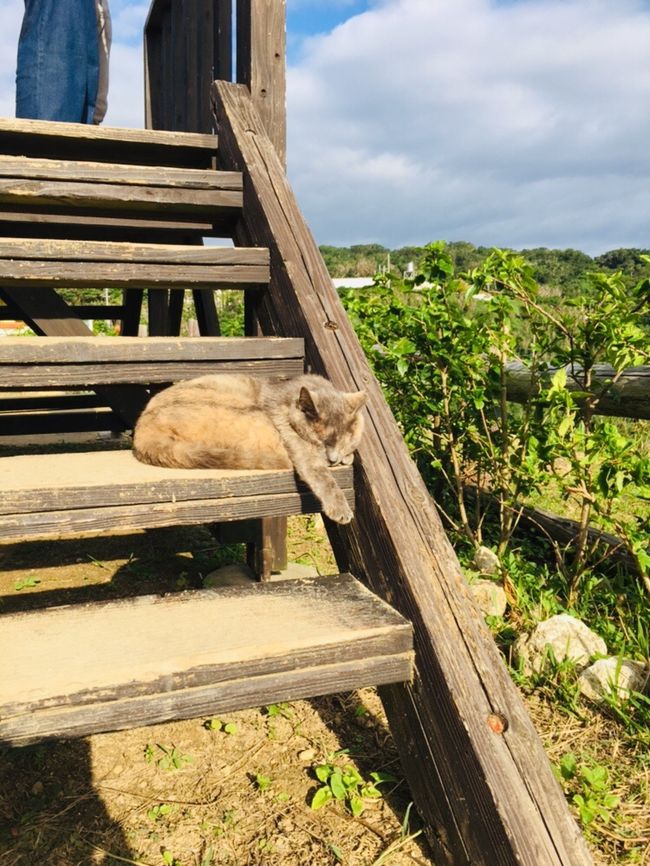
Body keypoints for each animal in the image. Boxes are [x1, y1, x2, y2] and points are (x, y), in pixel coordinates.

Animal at [132, 370, 364, 520]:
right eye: (319, 441)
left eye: (342, 442)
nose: (333, 459)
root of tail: (141, 431)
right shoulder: (295, 440)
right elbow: (320, 474)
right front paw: (341, 510)